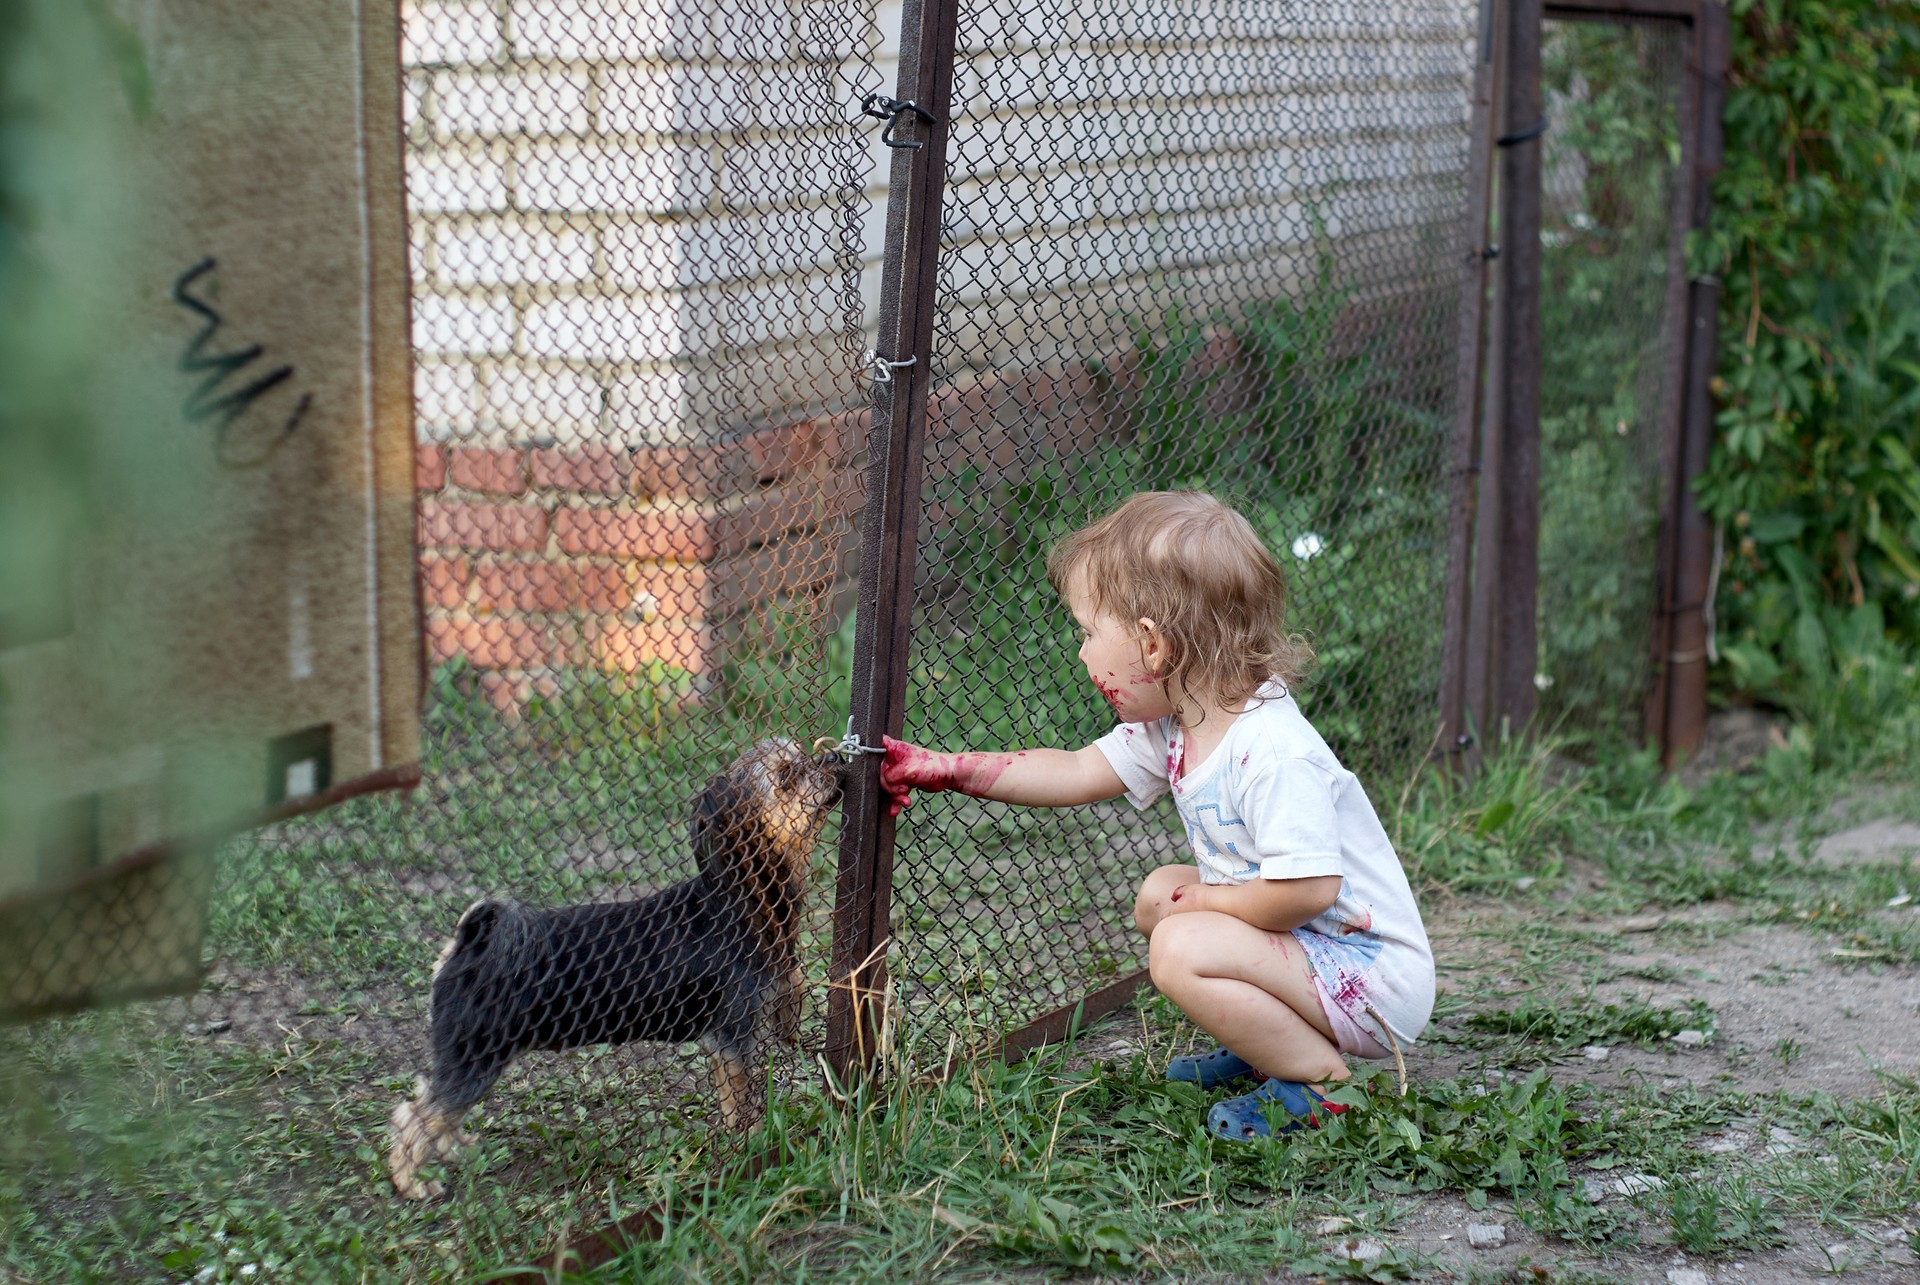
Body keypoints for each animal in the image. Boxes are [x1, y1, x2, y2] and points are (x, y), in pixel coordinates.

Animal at [387, 737, 840, 1198]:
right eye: (786, 777)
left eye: (803, 753)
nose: (834, 757)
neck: (741, 896)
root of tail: (468, 945)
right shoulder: (735, 1036)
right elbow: (743, 1099)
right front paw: (752, 1141)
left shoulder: (731, 1034)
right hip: (475, 1055)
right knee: (418, 1113)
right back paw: (411, 1183)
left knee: (436, 1108)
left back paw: (453, 1147)